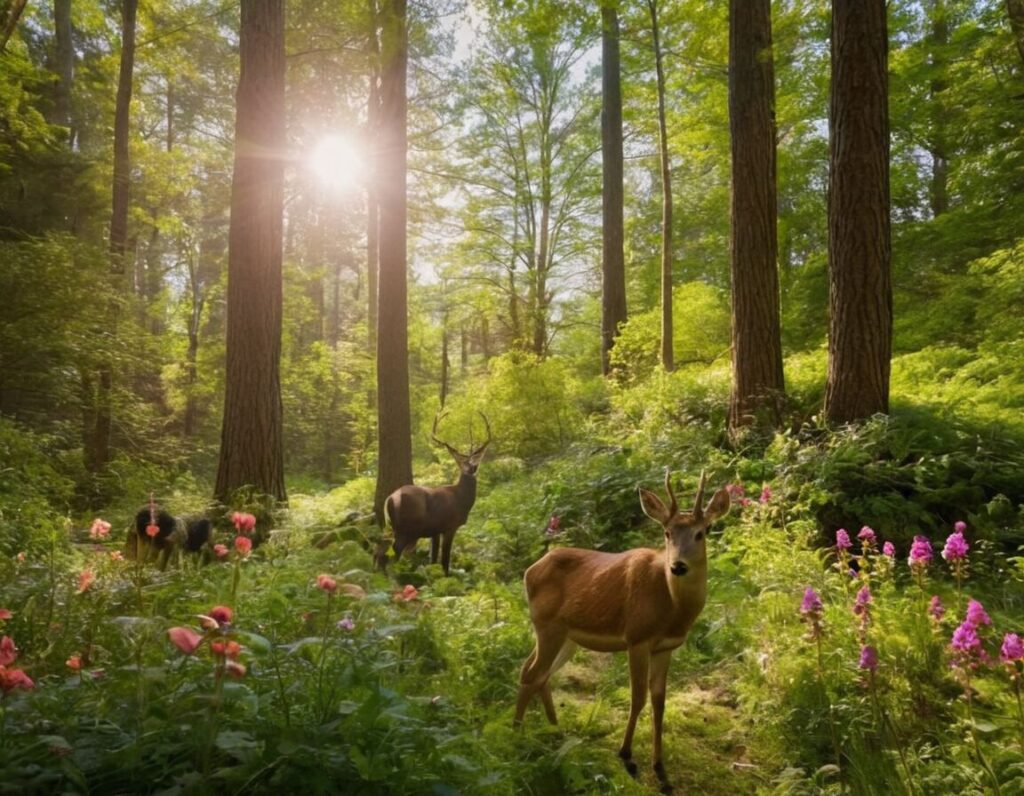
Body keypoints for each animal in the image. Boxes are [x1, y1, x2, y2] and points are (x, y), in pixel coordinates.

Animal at [385, 413, 493, 573]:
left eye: (474, 462)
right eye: (462, 463)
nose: (472, 468)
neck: (461, 499)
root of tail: (391, 498)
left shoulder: (434, 530)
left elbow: (433, 559)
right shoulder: (450, 526)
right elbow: (445, 560)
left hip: (393, 527)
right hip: (406, 528)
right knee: (394, 552)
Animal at [516, 469, 733, 790]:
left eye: (701, 532)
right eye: (667, 533)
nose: (678, 566)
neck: (671, 610)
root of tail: (530, 570)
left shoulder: (666, 647)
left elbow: (659, 700)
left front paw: (660, 767)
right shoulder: (637, 638)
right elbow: (638, 696)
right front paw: (627, 755)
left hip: (566, 636)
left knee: (537, 673)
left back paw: (555, 730)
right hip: (547, 625)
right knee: (532, 673)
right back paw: (516, 734)